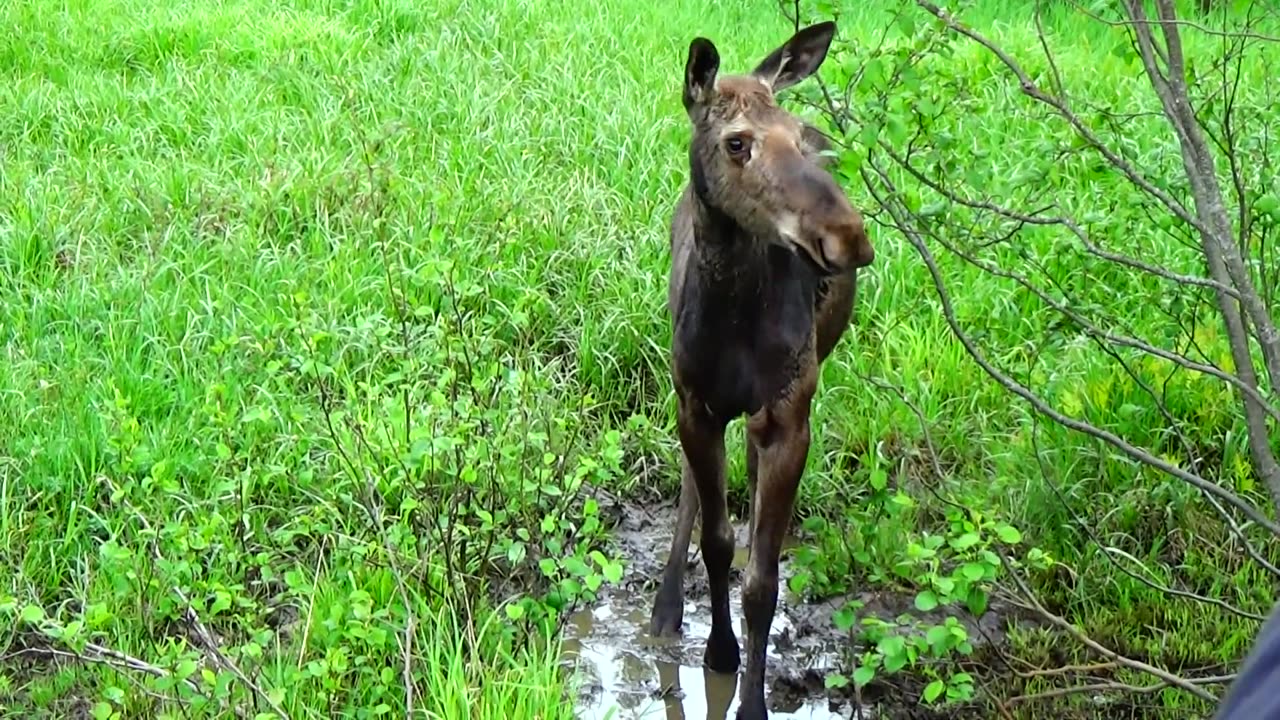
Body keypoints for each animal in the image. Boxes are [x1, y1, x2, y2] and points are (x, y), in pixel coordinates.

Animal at [645, 19, 875, 712]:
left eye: (800, 136)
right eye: (737, 142)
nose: (850, 237)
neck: (732, 325)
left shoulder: (787, 416)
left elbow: (763, 581)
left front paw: (752, 696)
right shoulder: (694, 403)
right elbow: (718, 542)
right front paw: (719, 652)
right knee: (694, 492)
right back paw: (666, 606)